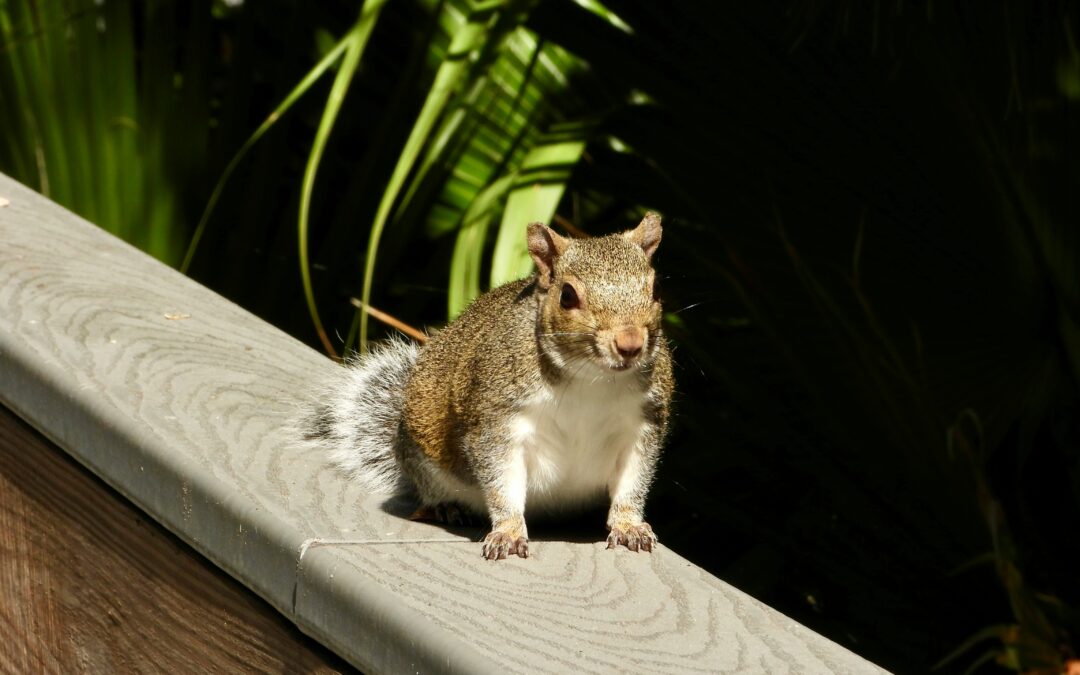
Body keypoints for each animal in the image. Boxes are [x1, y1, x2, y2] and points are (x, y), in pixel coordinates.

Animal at [300, 213, 673, 560]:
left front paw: (628, 525)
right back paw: (446, 506)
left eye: (656, 290)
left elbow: (632, 482)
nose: (630, 344)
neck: (592, 377)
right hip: (423, 460)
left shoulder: (643, 424)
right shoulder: (496, 420)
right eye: (567, 296)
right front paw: (508, 531)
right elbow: (501, 481)